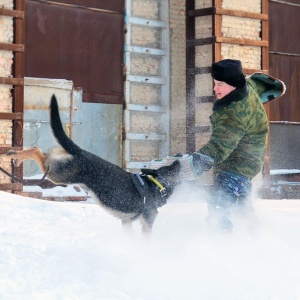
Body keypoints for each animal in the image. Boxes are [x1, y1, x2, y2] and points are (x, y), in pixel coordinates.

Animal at [7, 95, 180, 233]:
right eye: (170, 168)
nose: (178, 160)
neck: (156, 184)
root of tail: (80, 151)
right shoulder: (147, 221)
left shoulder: (126, 222)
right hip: (59, 174)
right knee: (37, 151)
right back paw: (16, 155)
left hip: (57, 169)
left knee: (38, 150)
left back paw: (14, 154)